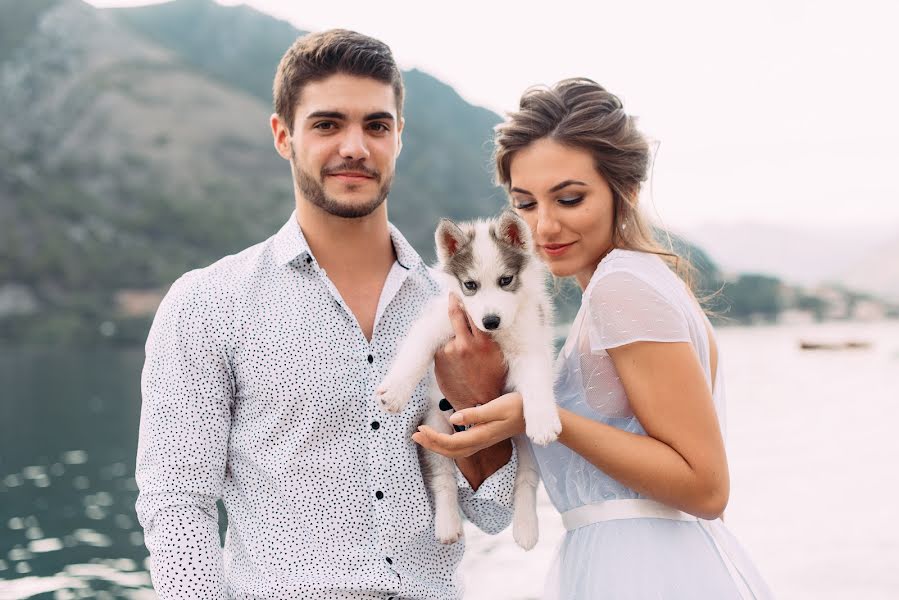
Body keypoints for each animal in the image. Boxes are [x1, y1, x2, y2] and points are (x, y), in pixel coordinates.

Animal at [374, 210, 560, 548]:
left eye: (505, 280)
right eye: (470, 285)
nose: (490, 321)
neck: (494, 336)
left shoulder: (530, 344)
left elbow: (536, 381)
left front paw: (543, 420)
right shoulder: (439, 320)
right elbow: (416, 349)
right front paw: (394, 392)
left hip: (523, 443)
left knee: (526, 480)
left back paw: (526, 527)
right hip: (434, 427)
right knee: (444, 478)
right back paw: (447, 525)